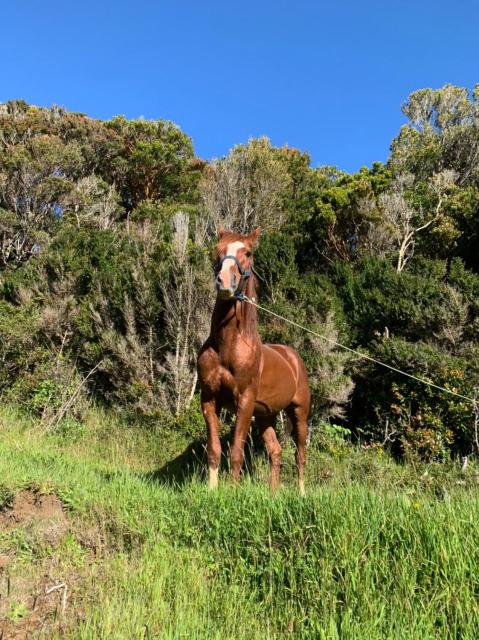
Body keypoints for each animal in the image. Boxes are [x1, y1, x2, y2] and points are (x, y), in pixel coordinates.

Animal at [198, 228, 314, 492]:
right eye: (218, 249)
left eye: (248, 253)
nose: (224, 281)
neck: (228, 347)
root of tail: (293, 358)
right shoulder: (209, 399)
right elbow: (214, 450)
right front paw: (211, 491)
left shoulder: (245, 402)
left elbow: (236, 452)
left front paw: (231, 492)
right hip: (266, 416)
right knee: (276, 451)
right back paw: (273, 493)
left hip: (299, 412)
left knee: (300, 454)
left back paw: (302, 493)